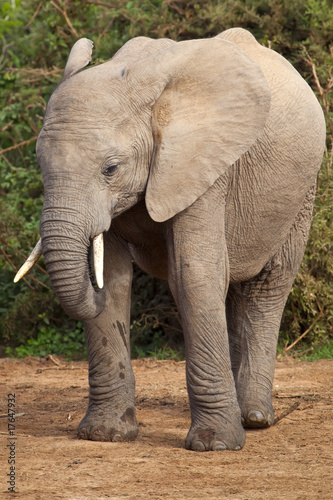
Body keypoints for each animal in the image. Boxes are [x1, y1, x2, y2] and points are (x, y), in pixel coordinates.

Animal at [16, 28, 324, 454]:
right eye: (40, 164)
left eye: (111, 168)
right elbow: (113, 280)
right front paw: (105, 435)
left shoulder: (203, 167)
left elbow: (193, 275)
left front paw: (215, 445)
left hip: (302, 192)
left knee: (267, 287)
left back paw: (255, 418)